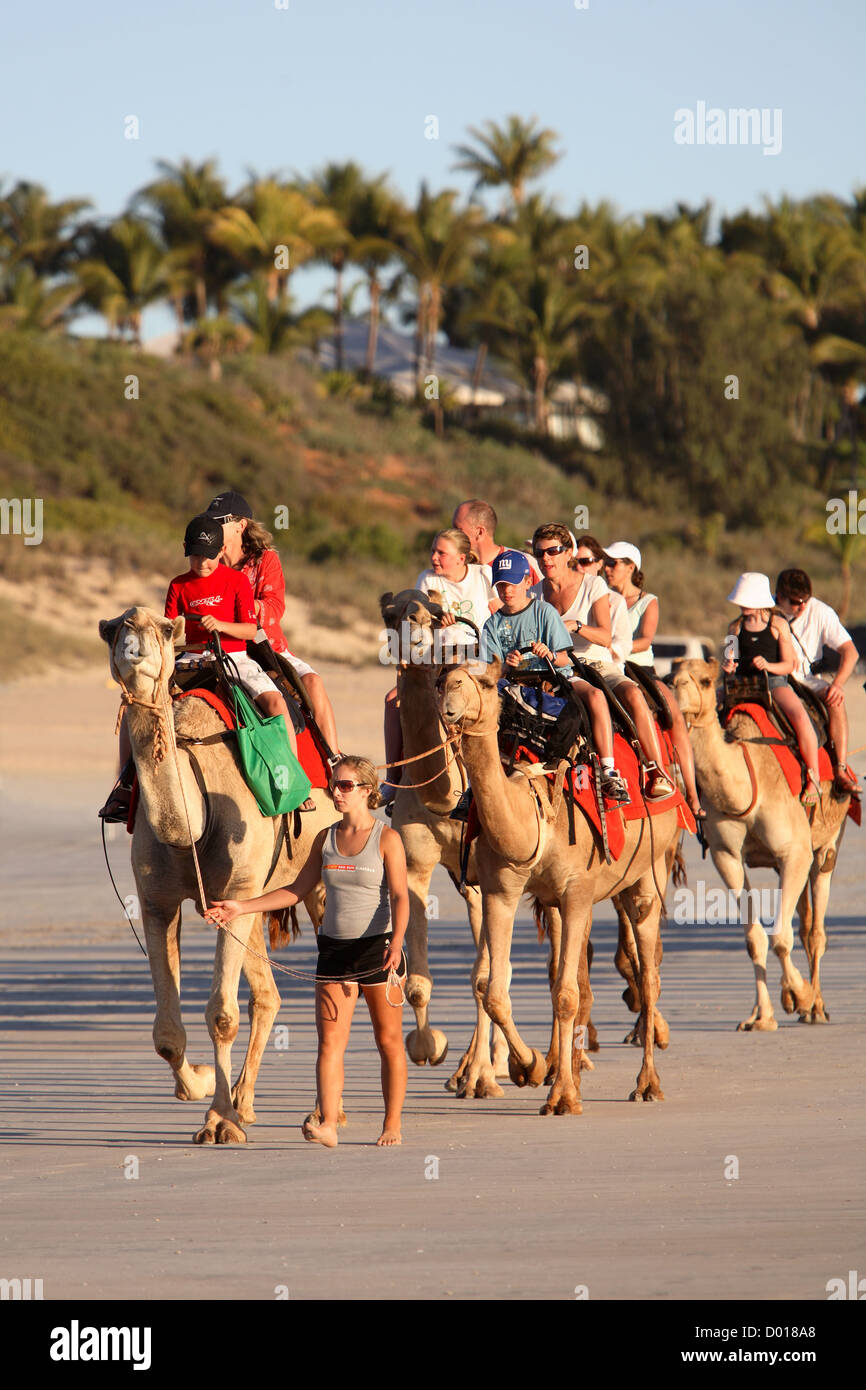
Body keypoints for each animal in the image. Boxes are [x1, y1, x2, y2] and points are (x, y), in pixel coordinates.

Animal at [97, 606, 335, 1139]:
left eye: (164, 629)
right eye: (115, 627)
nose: (133, 636)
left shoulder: (237, 888)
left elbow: (222, 1015)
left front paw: (220, 1124)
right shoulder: (158, 901)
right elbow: (166, 1031)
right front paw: (204, 1086)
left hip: (320, 871)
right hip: (257, 896)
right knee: (267, 995)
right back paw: (245, 1101)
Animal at [383, 592, 511, 1089]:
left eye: (432, 616)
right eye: (390, 615)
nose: (412, 635)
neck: (446, 795)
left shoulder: (489, 871)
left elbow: (483, 975)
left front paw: (480, 1076)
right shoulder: (417, 864)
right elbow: (418, 982)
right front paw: (427, 1047)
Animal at [436, 656, 681, 1112]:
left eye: (483, 683)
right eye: (441, 683)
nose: (450, 700)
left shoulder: (577, 891)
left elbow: (566, 994)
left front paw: (562, 1096)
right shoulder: (501, 890)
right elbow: (494, 991)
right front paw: (530, 1067)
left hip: (649, 870)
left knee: (648, 975)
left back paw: (647, 1084)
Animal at [670, 656, 845, 1028]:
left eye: (704, 680)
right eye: (669, 677)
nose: (675, 694)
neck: (748, 783)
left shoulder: (794, 853)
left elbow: (781, 936)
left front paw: (801, 996)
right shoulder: (726, 856)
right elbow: (754, 938)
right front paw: (761, 1016)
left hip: (828, 844)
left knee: (816, 929)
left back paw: (817, 1007)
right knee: (805, 924)